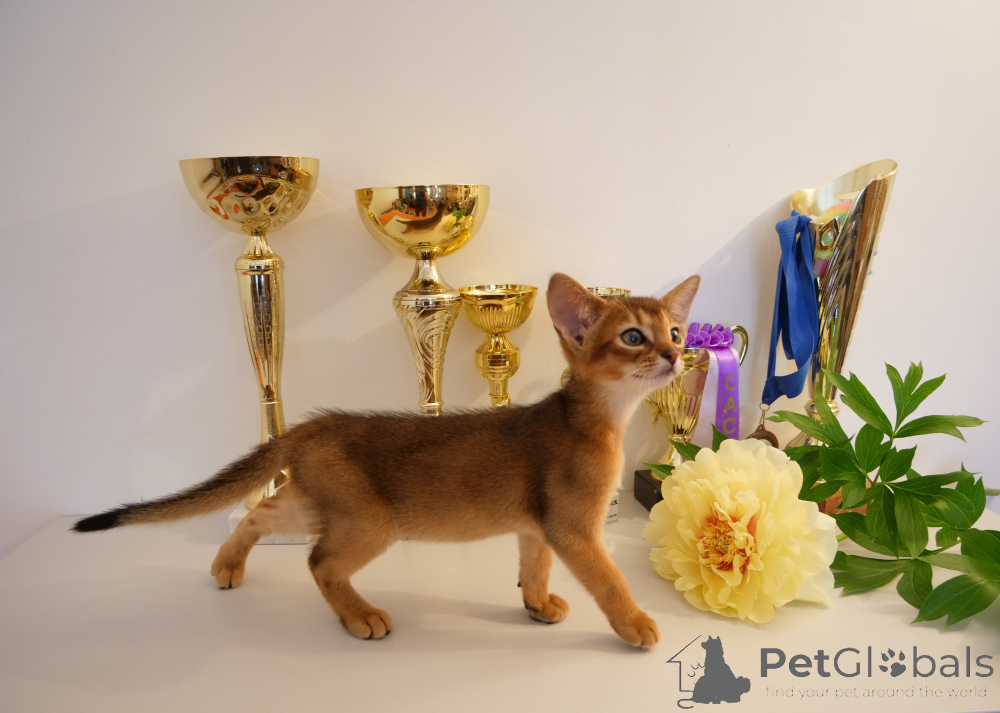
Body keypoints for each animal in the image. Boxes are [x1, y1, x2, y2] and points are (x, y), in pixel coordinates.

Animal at [74, 272, 699, 648]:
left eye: (675, 329)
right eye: (634, 337)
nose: (677, 354)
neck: (593, 420)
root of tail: (311, 424)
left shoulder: (538, 527)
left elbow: (533, 567)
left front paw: (537, 604)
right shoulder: (574, 528)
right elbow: (610, 580)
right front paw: (636, 624)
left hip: (319, 502)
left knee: (259, 512)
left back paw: (228, 566)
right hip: (369, 521)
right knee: (319, 562)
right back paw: (360, 616)